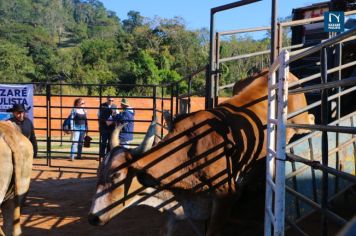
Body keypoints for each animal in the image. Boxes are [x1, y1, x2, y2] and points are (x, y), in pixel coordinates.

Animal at [89, 69, 314, 235]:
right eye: (99, 173)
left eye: (117, 175)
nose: (93, 217)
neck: (190, 152)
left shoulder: (224, 198)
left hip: (301, 121)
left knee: (310, 119)